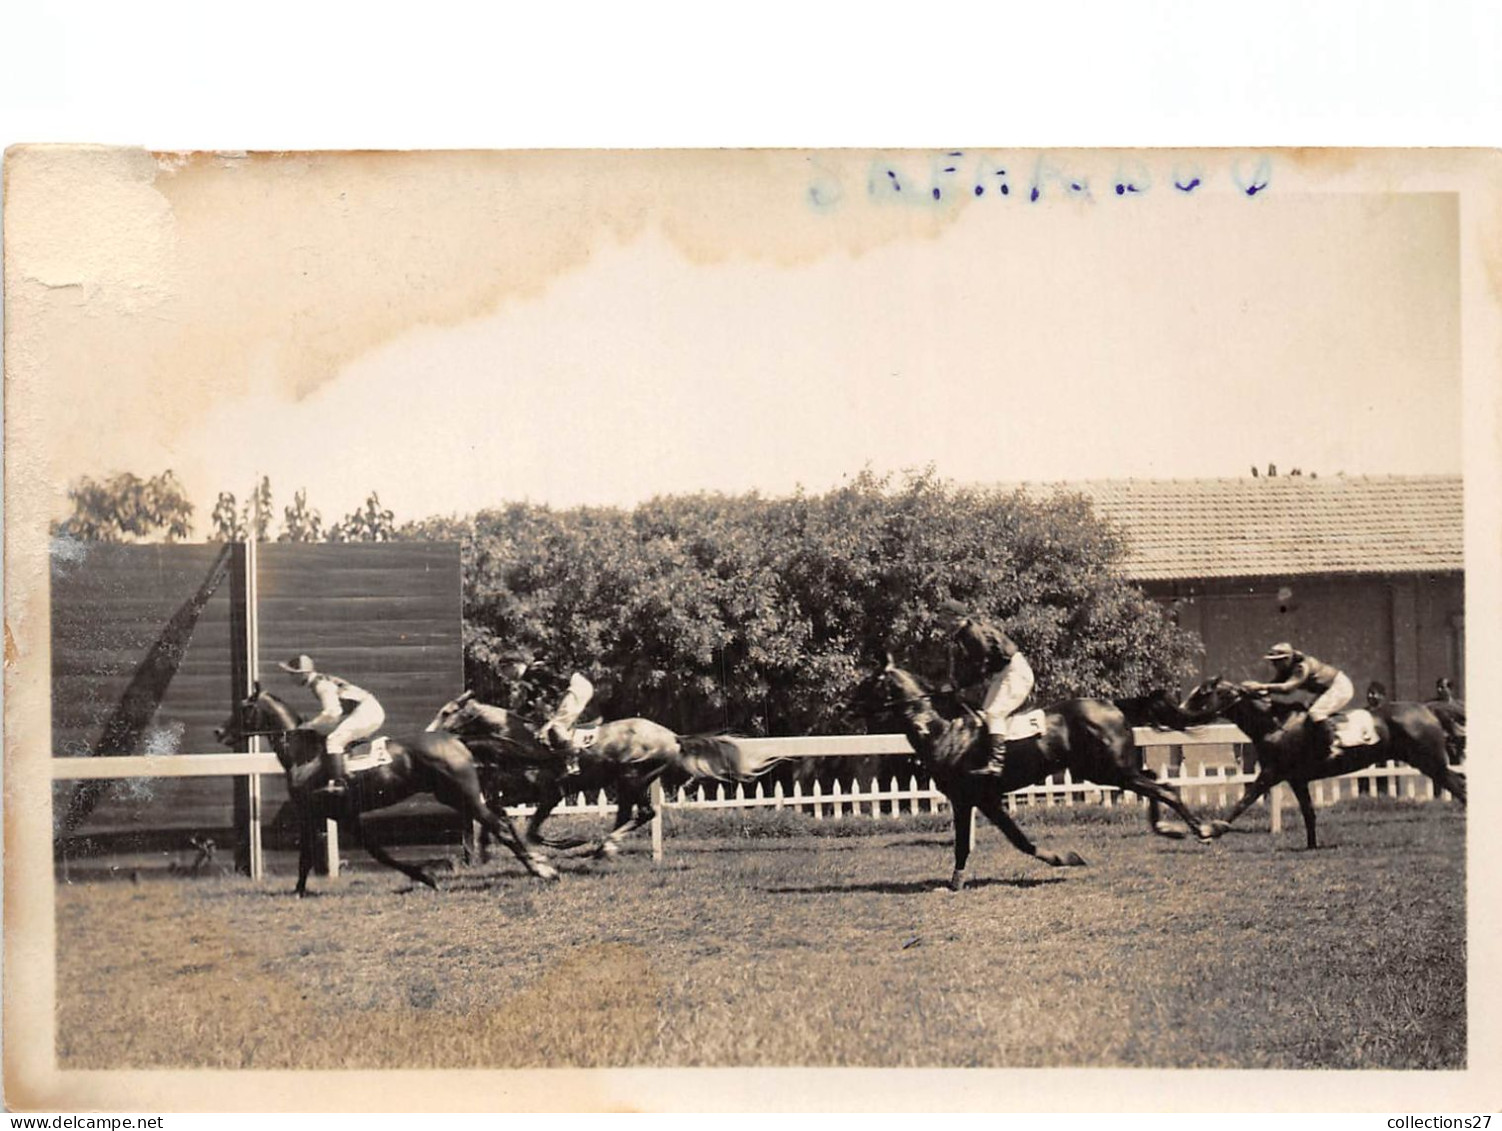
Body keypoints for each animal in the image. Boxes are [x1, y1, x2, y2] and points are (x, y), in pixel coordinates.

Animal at [216, 684, 558, 895]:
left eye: (244, 708)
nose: (219, 731)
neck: (305, 756)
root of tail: (456, 739)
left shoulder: (313, 813)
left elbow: (309, 856)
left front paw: (298, 891)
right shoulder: (344, 816)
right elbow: (376, 852)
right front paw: (426, 877)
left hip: (464, 796)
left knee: (500, 825)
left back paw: (541, 870)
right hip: (457, 796)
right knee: (502, 819)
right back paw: (539, 861)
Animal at [423, 687, 787, 853]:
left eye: (446, 712)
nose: (429, 732)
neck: (524, 740)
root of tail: (673, 737)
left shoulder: (551, 793)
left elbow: (533, 831)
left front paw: (569, 841)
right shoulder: (528, 790)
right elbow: (502, 808)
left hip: (632, 777)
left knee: (643, 813)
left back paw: (604, 845)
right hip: (630, 782)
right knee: (633, 814)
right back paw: (603, 846)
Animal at [847, 651, 1219, 889]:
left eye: (868, 682)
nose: (847, 705)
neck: (944, 730)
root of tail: (1113, 703)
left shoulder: (975, 798)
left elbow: (1014, 841)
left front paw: (1065, 858)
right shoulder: (973, 801)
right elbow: (988, 842)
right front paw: (955, 882)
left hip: (1111, 771)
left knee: (1165, 789)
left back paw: (1203, 829)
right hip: (1109, 770)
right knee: (1155, 781)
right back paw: (1171, 828)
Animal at [1171, 669, 1465, 847]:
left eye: (1202, 693)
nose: (1178, 712)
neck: (1275, 723)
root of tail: (1429, 709)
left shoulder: (1271, 773)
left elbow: (1244, 799)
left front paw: (1210, 830)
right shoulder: (1296, 779)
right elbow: (1309, 813)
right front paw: (1312, 845)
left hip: (1431, 764)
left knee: (1460, 788)